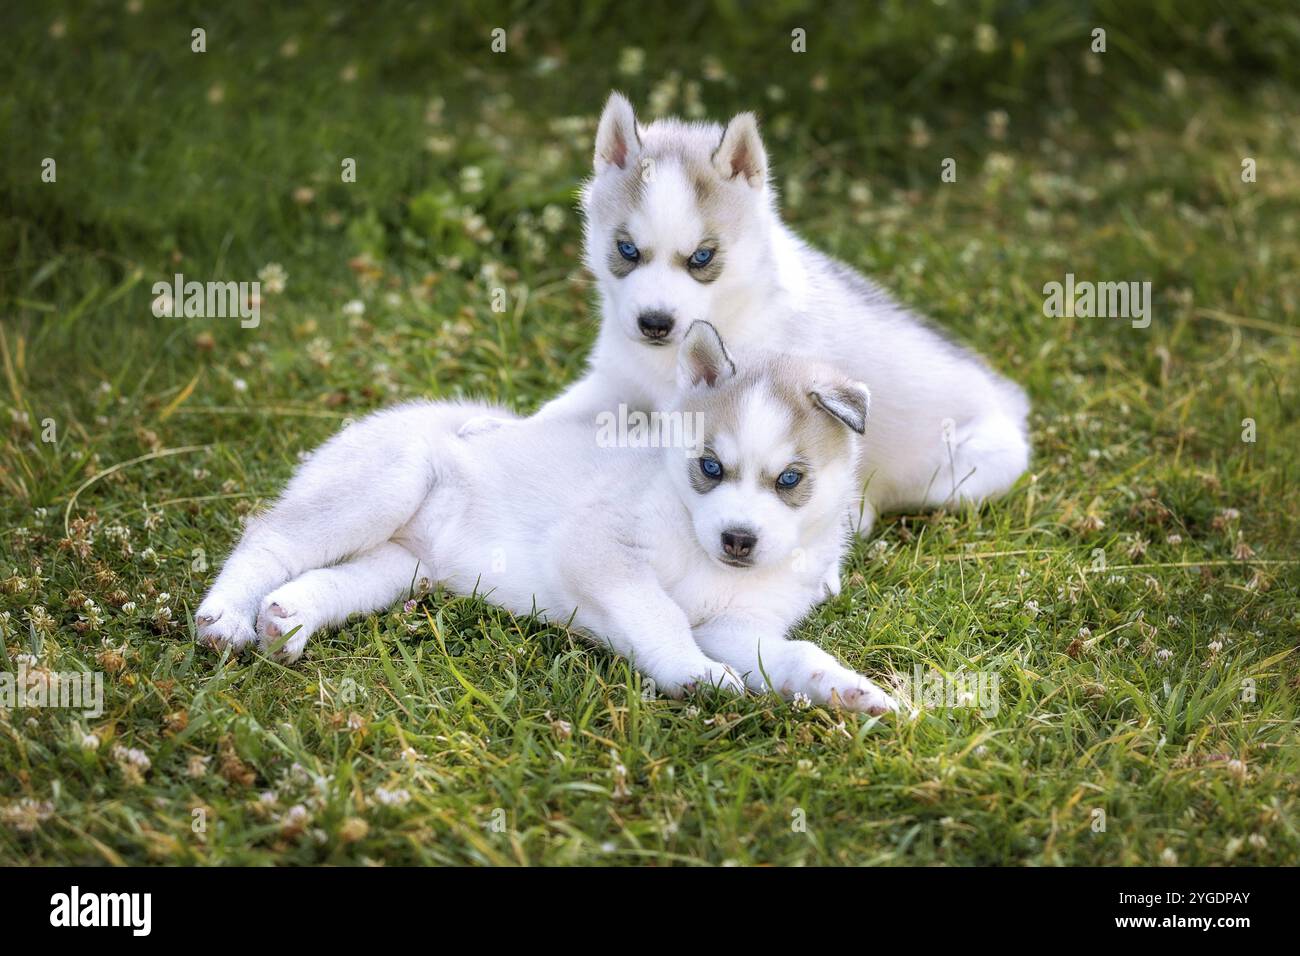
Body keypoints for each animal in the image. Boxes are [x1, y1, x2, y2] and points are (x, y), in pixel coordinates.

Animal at [197, 325, 899, 712]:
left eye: (790, 480)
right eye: (709, 466)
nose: (738, 540)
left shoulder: (734, 627)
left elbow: (792, 653)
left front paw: (846, 691)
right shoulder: (596, 547)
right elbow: (659, 613)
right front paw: (692, 674)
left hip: (403, 566)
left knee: (335, 578)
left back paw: (288, 618)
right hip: (383, 487)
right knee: (270, 540)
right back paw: (225, 616)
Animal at [522, 93, 1029, 541]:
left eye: (702, 257)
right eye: (627, 250)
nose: (654, 323)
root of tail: (1009, 398)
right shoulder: (615, 382)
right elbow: (549, 416)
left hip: (964, 475)